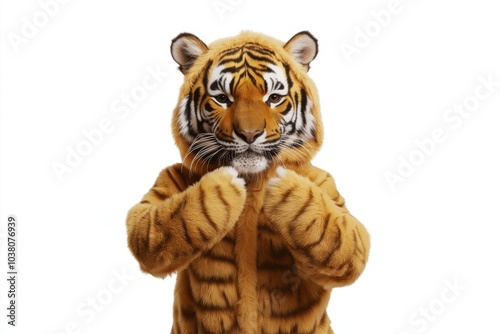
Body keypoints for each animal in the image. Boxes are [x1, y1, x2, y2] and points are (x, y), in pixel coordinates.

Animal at [127, 31, 370, 334]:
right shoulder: (164, 187)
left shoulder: (326, 185)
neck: (253, 180)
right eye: (222, 98)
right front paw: (223, 183)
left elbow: (350, 243)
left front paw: (283, 187)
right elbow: (145, 228)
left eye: (274, 98)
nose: (250, 134)